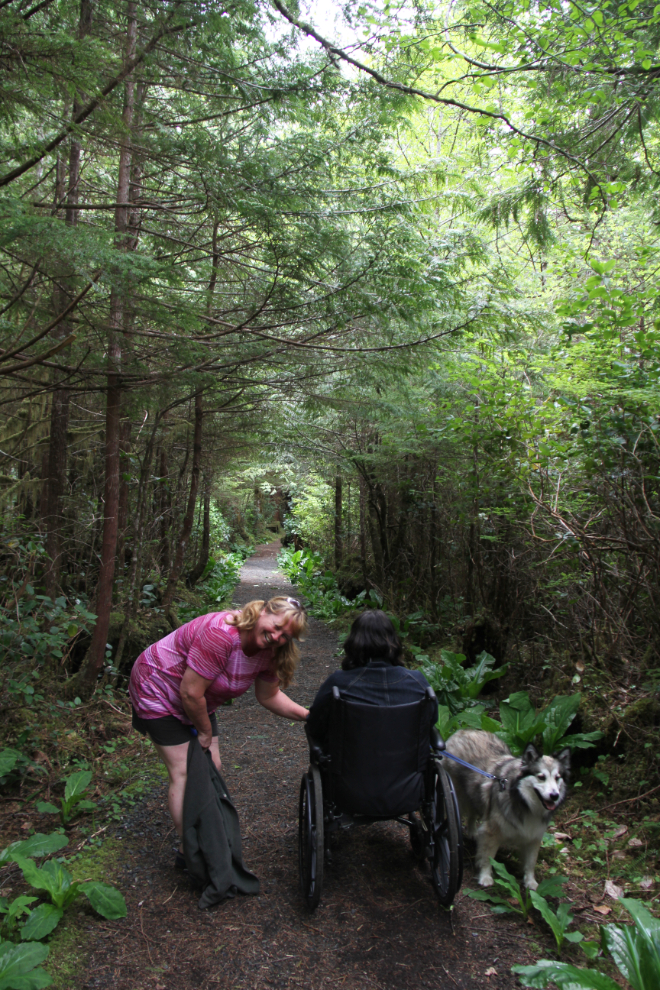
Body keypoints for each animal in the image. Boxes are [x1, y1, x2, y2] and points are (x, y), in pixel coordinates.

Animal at [446, 728, 568, 892]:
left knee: (472, 814)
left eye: (557, 777)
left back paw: (472, 832)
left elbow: (530, 863)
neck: (524, 802)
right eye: (541, 777)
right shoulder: (492, 832)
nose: (554, 796)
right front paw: (485, 877)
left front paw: (530, 882)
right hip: (457, 796)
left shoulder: (534, 836)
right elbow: (487, 858)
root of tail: (463, 731)